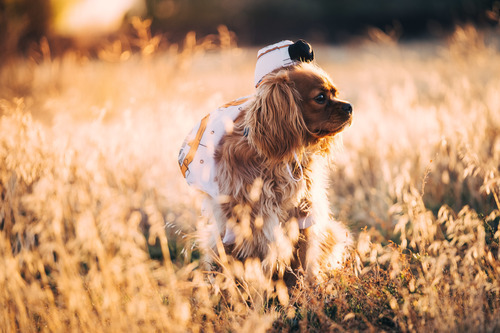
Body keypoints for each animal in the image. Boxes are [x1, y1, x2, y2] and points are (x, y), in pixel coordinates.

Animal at [201, 61, 354, 280]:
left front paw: (310, 286)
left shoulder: (304, 214)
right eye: (320, 97)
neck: (279, 162)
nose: (349, 106)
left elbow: (306, 259)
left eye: (335, 93)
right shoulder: (248, 221)